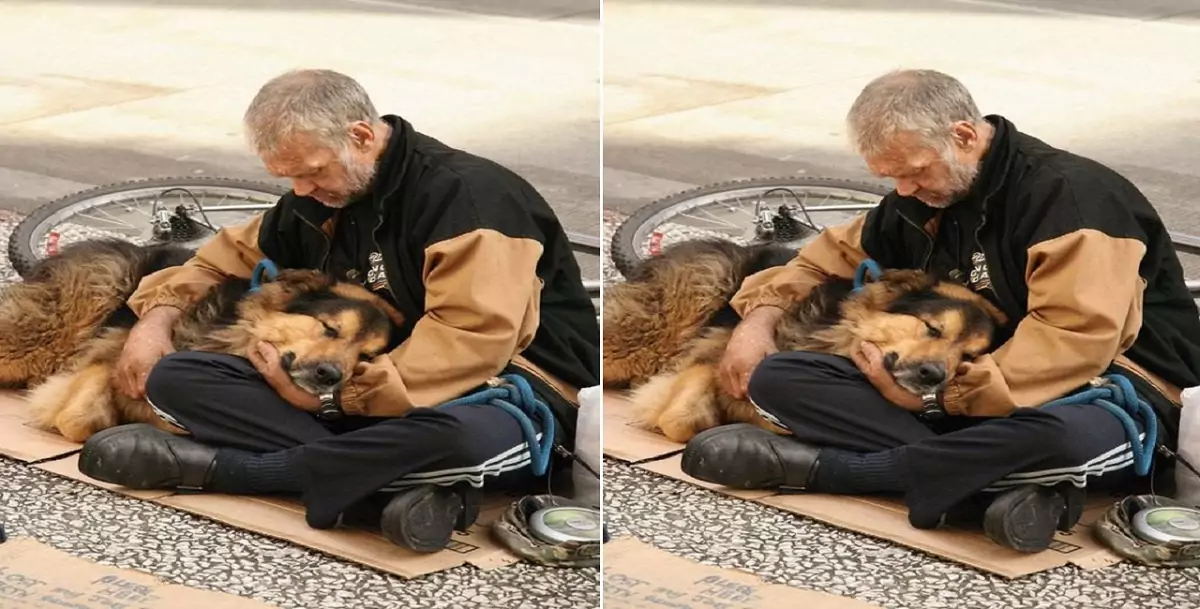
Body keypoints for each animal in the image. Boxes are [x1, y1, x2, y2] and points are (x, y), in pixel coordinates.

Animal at [0, 237, 403, 443]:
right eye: (330, 328)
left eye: (367, 358)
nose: (331, 375)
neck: (237, 335)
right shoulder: (117, 357)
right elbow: (76, 417)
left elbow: (80, 420)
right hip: (50, 331)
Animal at [604, 237, 1008, 443]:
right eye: (933, 329)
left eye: (968, 358)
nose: (933, 375)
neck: (840, 337)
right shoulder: (718, 358)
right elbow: (679, 416)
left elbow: (683, 419)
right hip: (652, 332)